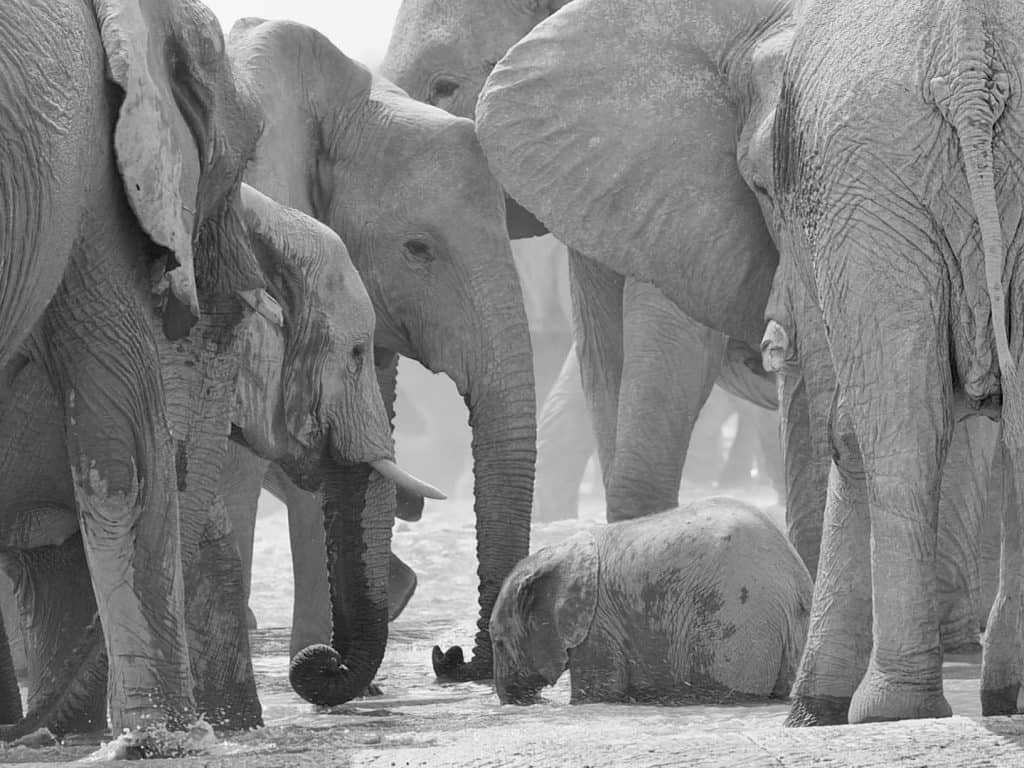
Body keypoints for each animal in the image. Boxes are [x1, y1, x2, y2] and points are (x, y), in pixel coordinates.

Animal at [490, 497, 812, 704]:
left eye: (499, 643)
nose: (529, 702)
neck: (555, 553)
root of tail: (795, 580)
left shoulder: (596, 626)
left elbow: (597, 693)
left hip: (736, 621)